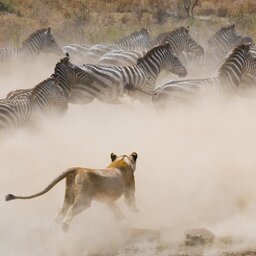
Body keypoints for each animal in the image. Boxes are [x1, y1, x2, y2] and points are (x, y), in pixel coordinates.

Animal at [54, 42, 187, 104]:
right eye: (176, 58)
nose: (186, 73)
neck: (147, 71)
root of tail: (81, 66)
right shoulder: (143, 95)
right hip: (84, 95)